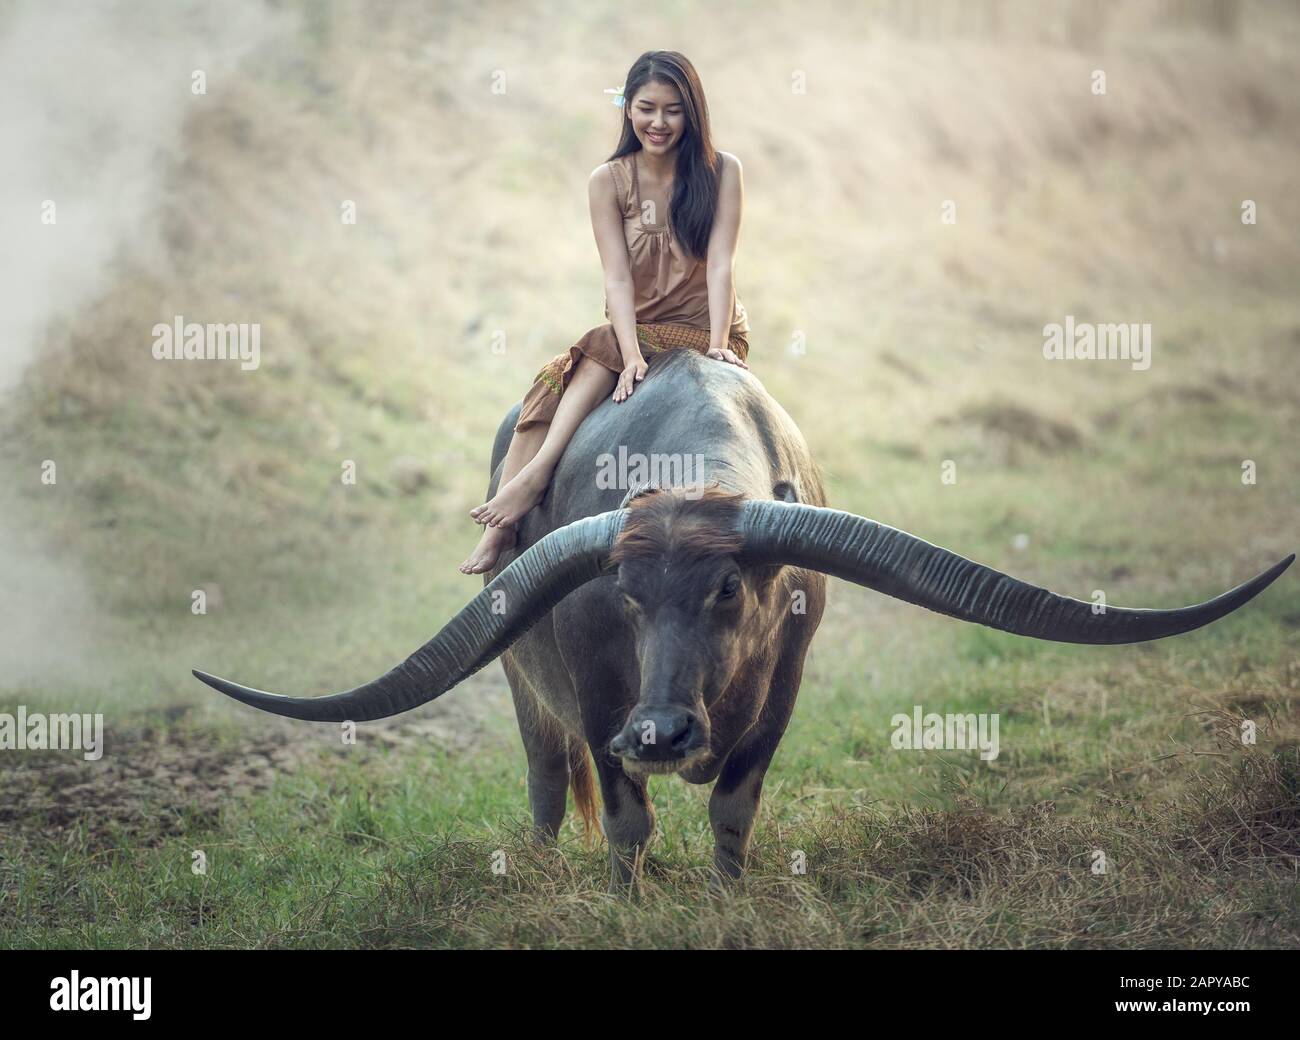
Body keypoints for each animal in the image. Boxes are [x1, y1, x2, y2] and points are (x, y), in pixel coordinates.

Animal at [192, 348, 1289, 883]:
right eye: (626, 595)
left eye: (729, 589)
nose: (661, 732)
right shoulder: (600, 694)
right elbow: (626, 820)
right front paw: (626, 900)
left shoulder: (783, 688)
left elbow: (733, 805)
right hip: (521, 683)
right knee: (547, 780)